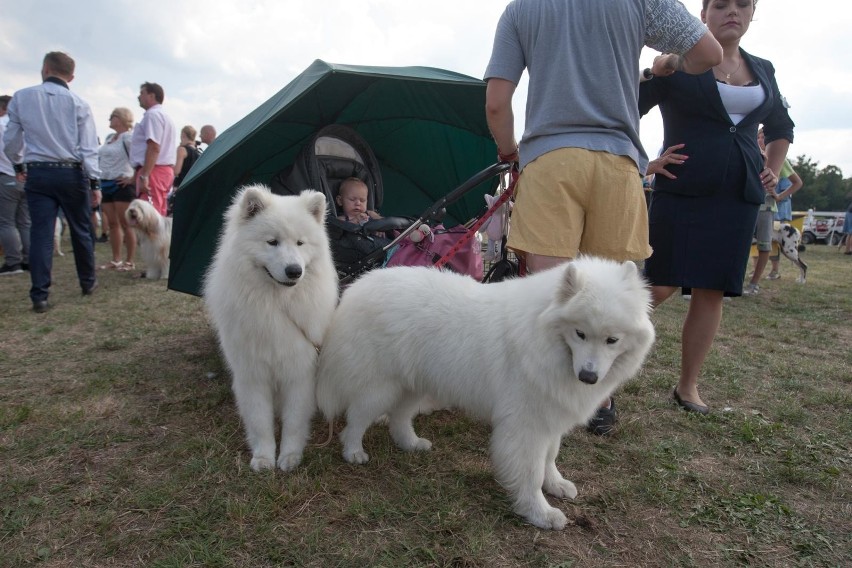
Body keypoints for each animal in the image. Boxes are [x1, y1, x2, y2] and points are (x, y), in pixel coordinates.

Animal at [205, 185, 338, 470]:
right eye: (272, 242)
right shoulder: (253, 374)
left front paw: (290, 456)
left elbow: (294, 421)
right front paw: (264, 457)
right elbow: (260, 421)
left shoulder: (299, 372)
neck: (276, 305)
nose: (294, 271)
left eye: (300, 243)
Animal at [316, 260, 656, 532]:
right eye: (580, 334)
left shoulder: (549, 419)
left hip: (414, 384)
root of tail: (358, 286)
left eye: (612, 340)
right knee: (356, 419)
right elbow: (531, 473)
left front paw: (556, 485)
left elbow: (550, 459)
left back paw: (410, 444)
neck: (542, 337)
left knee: (399, 418)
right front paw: (540, 513)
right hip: (381, 388)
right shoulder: (527, 427)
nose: (588, 376)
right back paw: (353, 452)